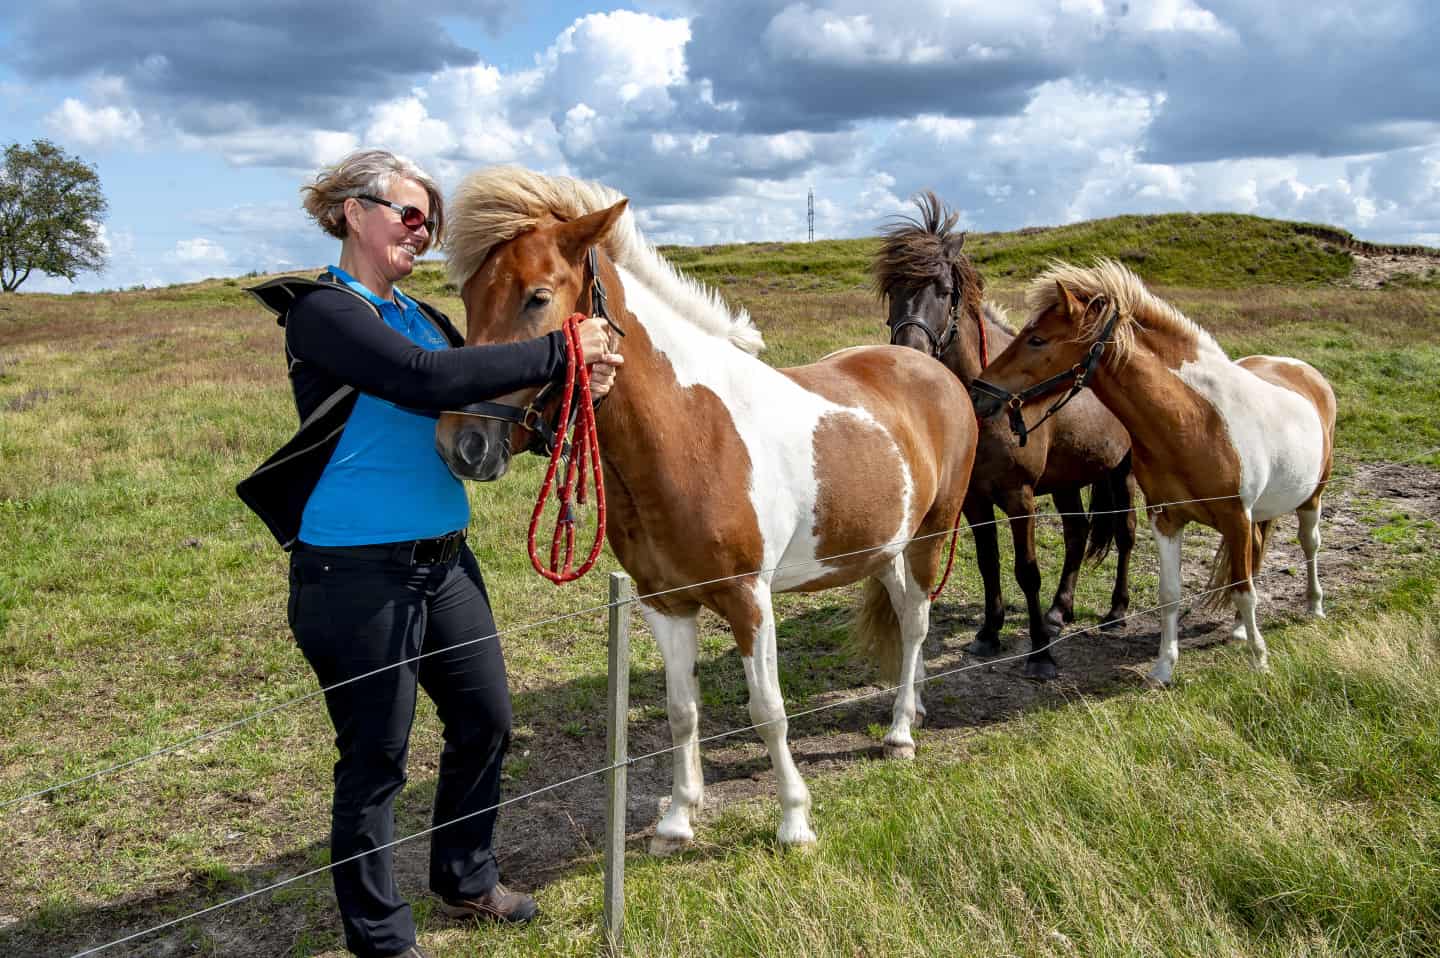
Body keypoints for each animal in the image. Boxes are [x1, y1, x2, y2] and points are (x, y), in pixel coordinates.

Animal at [437, 166, 979, 852]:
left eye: (536, 297)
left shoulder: (750, 599)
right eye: (468, 296)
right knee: (905, 611)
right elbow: (681, 711)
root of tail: (928, 365)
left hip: (932, 535)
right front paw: (676, 820)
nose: (463, 444)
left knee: (915, 623)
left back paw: (902, 731)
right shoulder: (664, 604)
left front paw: (794, 821)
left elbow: (767, 712)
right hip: (883, 545)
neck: (692, 430)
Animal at [864, 190, 1134, 677]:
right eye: (893, 291)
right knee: (1077, 533)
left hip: (1123, 471)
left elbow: (1026, 570)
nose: (910, 354)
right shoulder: (974, 499)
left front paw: (1040, 654)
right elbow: (989, 563)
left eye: (944, 290)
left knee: (1124, 533)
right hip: (1066, 480)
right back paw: (1059, 610)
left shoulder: (1019, 496)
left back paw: (1116, 611)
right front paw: (990, 633)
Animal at [967, 257, 1336, 682]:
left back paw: (1313, 606)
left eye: (1037, 340)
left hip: (1311, 497)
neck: (1195, 421)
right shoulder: (1167, 518)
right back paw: (1241, 629)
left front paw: (1259, 661)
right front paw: (1163, 668)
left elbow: (1245, 589)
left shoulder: (1235, 517)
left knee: (1309, 544)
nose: (977, 393)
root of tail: (1300, 369)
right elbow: (1170, 594)